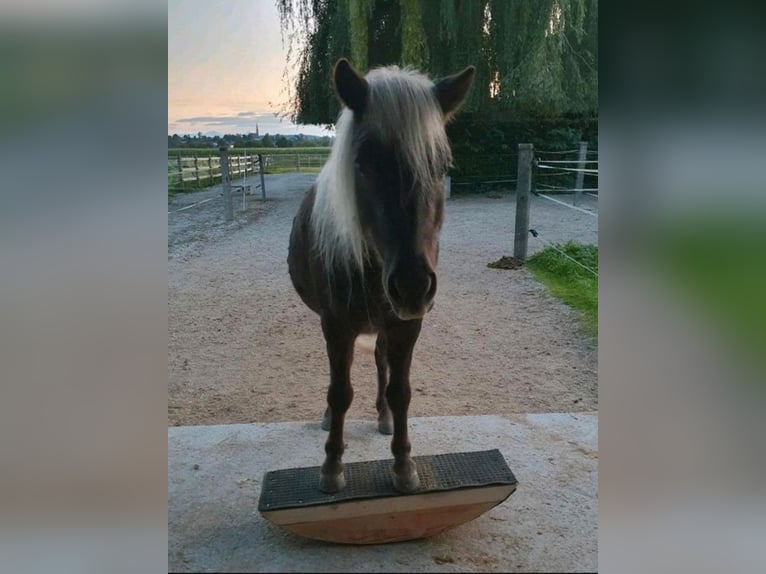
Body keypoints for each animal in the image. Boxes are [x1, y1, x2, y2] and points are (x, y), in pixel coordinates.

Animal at [287, 58, 474, 494]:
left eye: (440, 166)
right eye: (364, 163)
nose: (412, 286)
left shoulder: (407, 325)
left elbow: (400, 391)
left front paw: (403, 466)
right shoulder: (335, 326)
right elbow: (339, 392)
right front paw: (332, 466)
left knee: (380, 363)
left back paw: (384, 418)